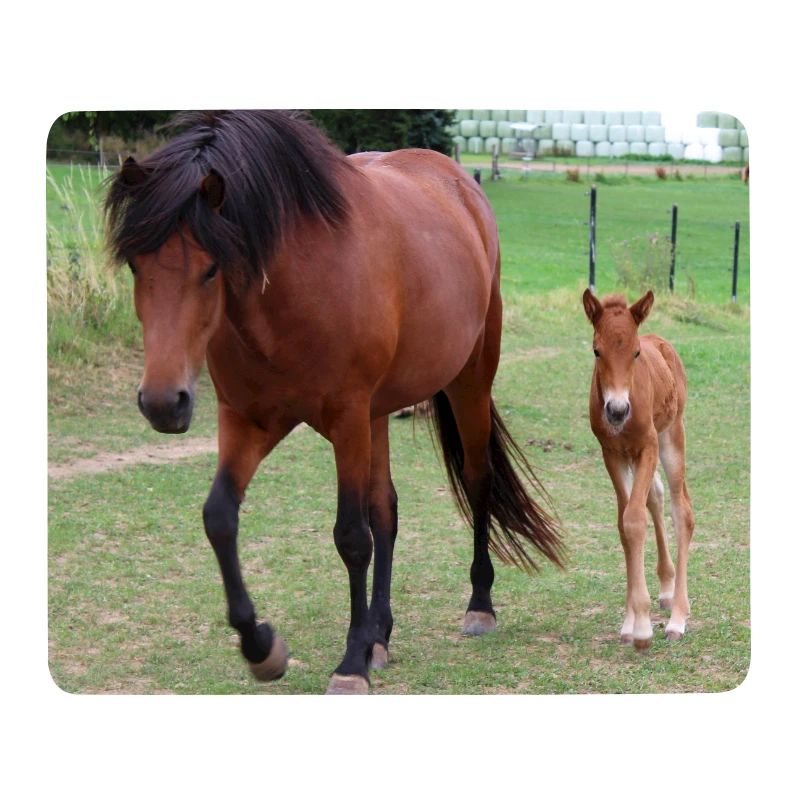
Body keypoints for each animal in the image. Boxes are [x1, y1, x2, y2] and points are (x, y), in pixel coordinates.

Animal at [104, 110, 565, 694]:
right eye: (136, 266)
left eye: (211, 268)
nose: (164, 403)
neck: (292, 291)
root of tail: (462, 185)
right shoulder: (249, 421)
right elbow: (220, 518)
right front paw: (263, 647)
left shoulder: (346, 420)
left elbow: (351, 537)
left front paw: (350, 664)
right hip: (379, 414)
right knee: (386, 508)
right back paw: (380, 635)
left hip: (469, 381)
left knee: (477, 479)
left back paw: (478, 605)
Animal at [582, 289, 695, 650]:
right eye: (596, 350)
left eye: (635, 352)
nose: (617, 410)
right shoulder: (612, 454)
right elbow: (624, 524)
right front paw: (631, 622)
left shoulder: (648, 447)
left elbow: (634, 520)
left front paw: (643, 629)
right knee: (654, 498)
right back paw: (666, 589)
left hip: (672, 435)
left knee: (681, 510)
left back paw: (678, 617)